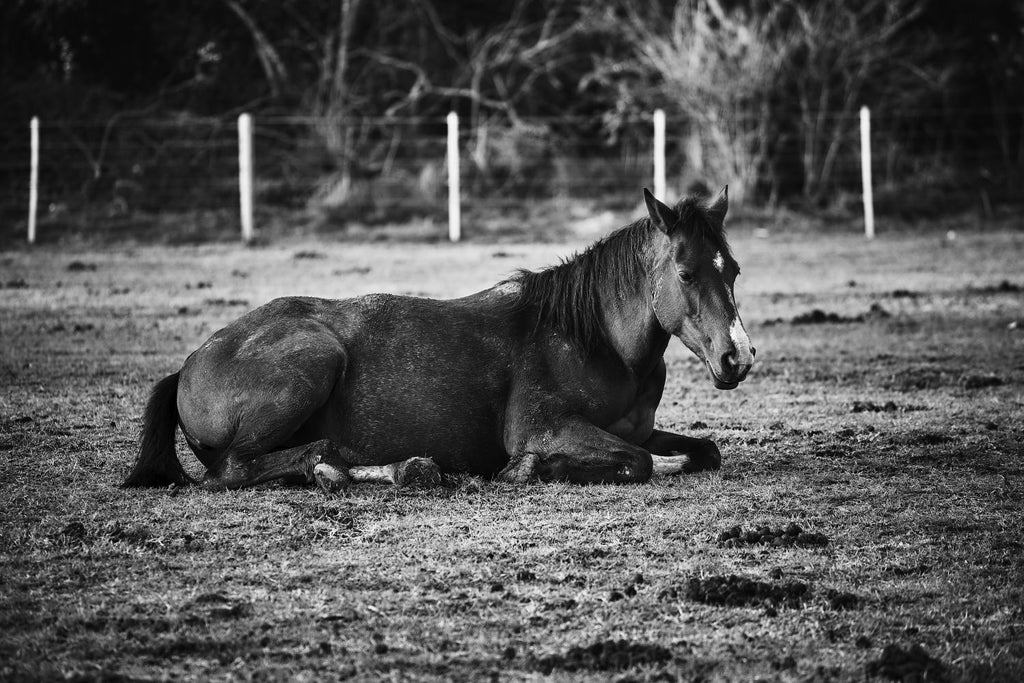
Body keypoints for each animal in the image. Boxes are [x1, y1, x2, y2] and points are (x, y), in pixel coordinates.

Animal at [123, 188, 755, 491]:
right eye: (686, 273)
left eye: (733, 269)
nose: (739, 356)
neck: (593, 342)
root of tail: (188, 365)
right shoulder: (545, 428)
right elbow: (637, 463)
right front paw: (528, 470)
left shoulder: (639, 429)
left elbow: (702, 450)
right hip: (313, 360)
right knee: (236, 468)